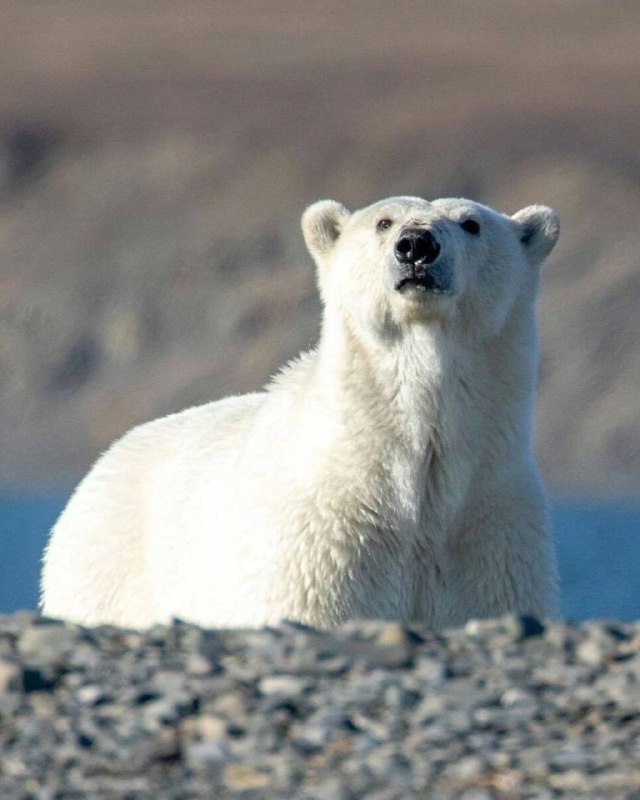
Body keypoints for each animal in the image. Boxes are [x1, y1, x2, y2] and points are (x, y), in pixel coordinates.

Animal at [41, 195, 560, 632]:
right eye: (384, 221)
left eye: (471, 223)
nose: (416, 245)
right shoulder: (326, 546)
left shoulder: (490, 535)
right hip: (108, 569)